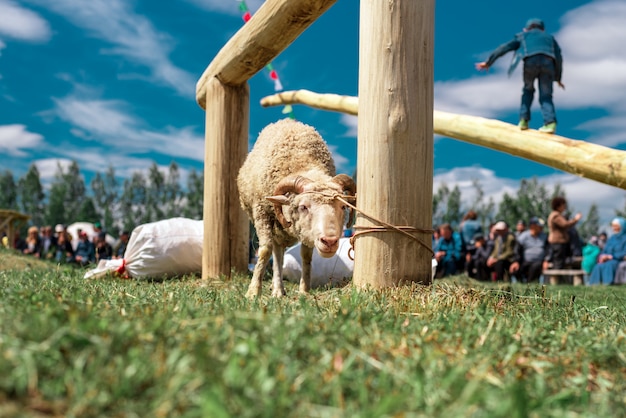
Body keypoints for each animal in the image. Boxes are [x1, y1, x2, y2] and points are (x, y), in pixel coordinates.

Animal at [236, 118, 356, 298]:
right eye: (303, 207)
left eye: (343, 206)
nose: (329, 241)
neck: (301, 159)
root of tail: (286, 120)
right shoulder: (262, 213)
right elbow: (264, 250)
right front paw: (253, 291)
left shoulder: (307, 231)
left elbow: (306, 256)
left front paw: (304, 290)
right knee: (276, 253)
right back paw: (277, 289)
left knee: (279, 255)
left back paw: (277, 288)